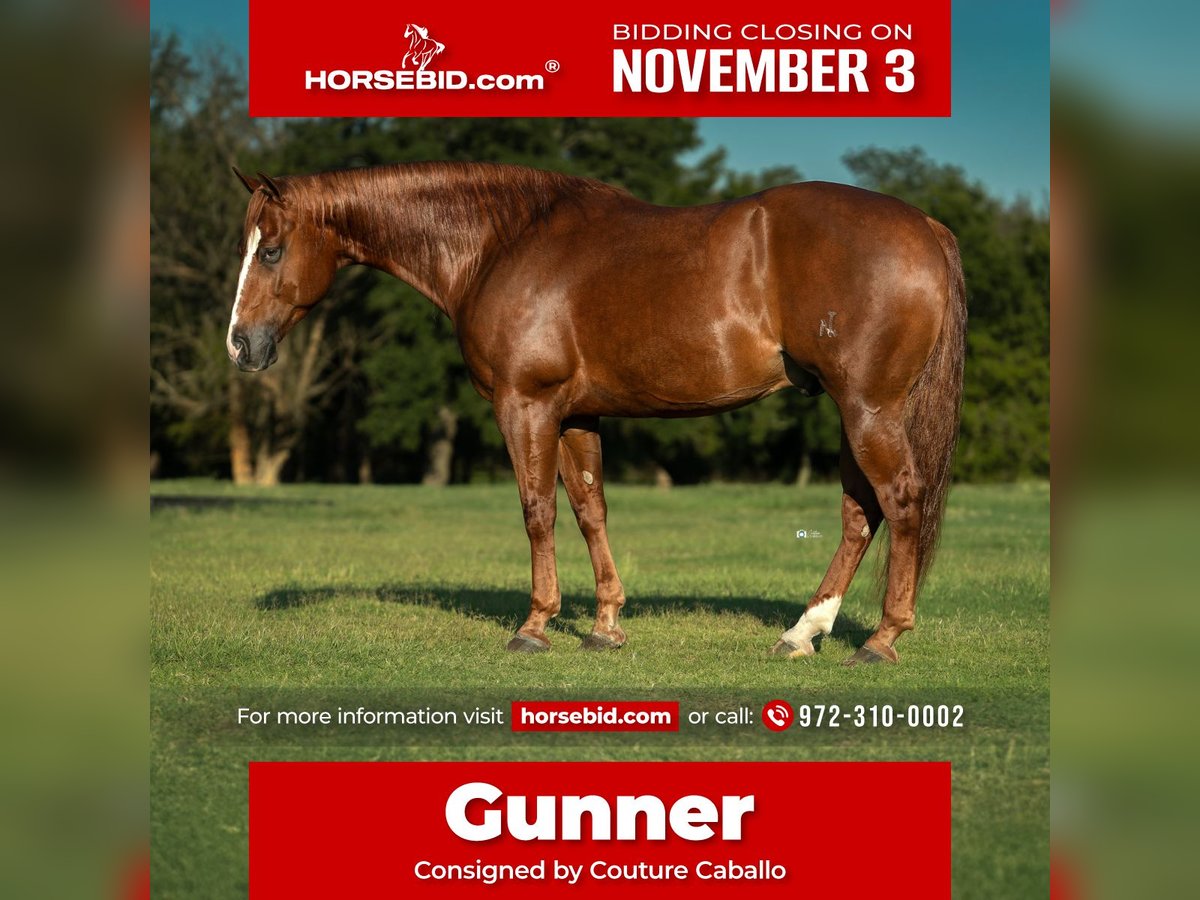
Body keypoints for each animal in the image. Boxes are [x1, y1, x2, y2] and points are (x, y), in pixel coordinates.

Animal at [226, 162, 966, 666]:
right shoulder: (577, 416)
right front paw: (606, 625)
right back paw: (802, 632)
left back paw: (881, 638)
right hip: (855, 412)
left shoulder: (525, 406)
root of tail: (924, 225)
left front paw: (535, 625)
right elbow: (589, 508)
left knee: (899, 501)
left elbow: (538, 511)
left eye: (271, 249)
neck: (503, 244)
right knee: (859, 514)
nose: (239, 344)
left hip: (868, 408)